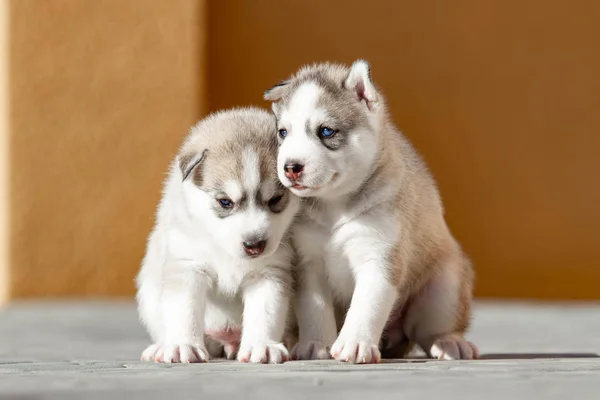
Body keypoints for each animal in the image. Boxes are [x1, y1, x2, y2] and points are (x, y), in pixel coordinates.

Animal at [136, 108, 300, 364]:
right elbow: (184, 309)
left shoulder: (269, 272)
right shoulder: (188, 266)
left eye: (275, 199)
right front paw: (182, 345)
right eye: (225, 202)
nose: (255, 245)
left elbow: (265, 313)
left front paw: (262, 345)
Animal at [264, 61, 480, 364]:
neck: (334, 207)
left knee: (430, 329)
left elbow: (366, 306)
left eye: (326, 132)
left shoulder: (379, 258)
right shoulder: (308, 263)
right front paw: (316, 344)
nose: (290, 167)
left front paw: (355, 343)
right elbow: (314, 309)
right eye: (283, 133)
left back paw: (449, 342)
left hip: (444, 284)